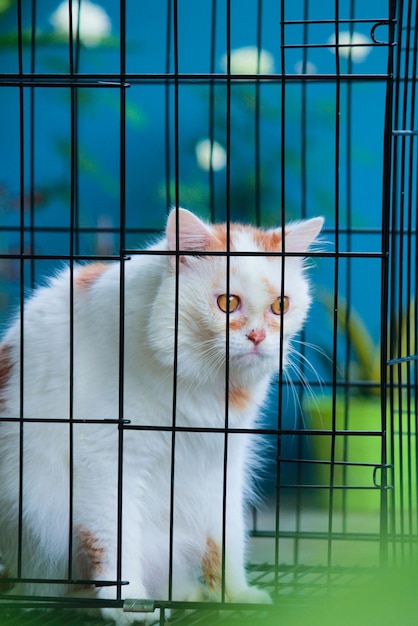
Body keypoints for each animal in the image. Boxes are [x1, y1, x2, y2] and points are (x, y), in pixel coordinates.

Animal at [0, 208, 324, 620]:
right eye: (228, 303)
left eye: (280, 306)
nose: (257, 338)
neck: (206, 384)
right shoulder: (107, 461)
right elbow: (114, 543)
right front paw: (129, 606)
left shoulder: (224, 462)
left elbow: (228, 539)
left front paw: (234, 596)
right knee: (52, 589)